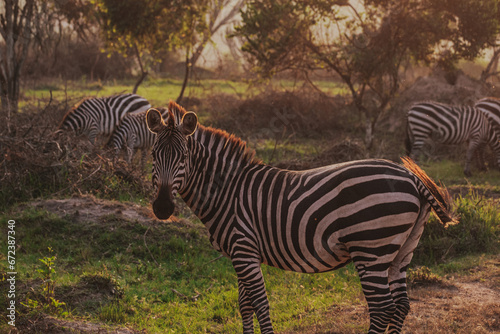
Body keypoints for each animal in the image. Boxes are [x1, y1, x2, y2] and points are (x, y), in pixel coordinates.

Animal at [144, 102, 458, 334]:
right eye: (152, 155)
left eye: (184, 157)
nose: (162, 208)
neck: (227, 190)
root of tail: (410, 177)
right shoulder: (241, 253)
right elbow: (245, 305)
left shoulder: (243, 248)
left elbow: (260, 303)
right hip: (402, 250)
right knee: (401, 305)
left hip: (371, 249)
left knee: (383, 309)